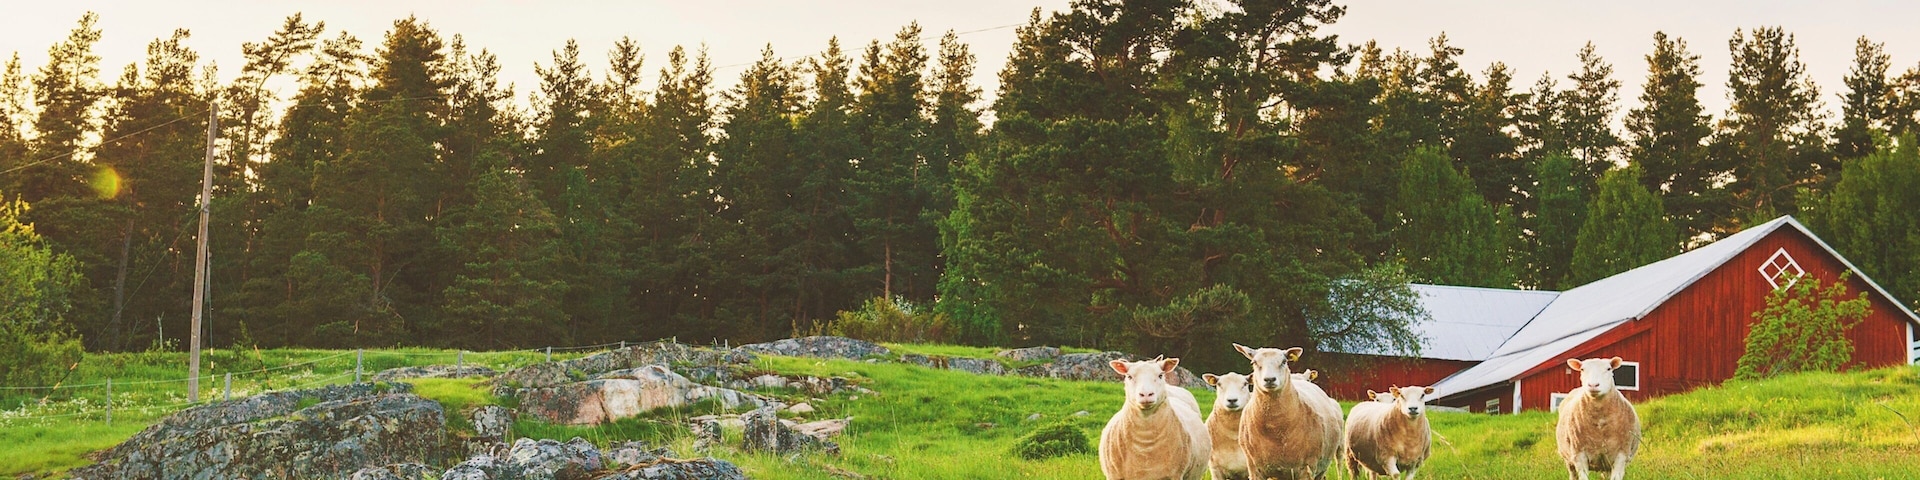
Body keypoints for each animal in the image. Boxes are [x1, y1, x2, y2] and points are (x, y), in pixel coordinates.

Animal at [1234, 344, 1345, 480]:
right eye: (1254, 362)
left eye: (1284, 361)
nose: (1269, 379)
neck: (1274, 429)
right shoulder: (1255, 469)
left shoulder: (1307, 468)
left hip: (1322, 465)